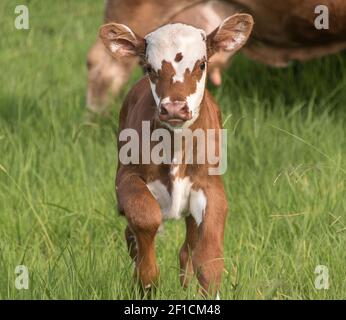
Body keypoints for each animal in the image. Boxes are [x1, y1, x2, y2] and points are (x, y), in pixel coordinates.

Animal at [98, 13, 253, 298]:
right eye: (149, 67)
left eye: (202, 64)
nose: (174, 108)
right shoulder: (126, 177)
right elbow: (145, 218)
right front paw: (146, 280)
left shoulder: (210, 186)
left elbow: (209, 255)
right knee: (132, 235)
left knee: (188, 247)